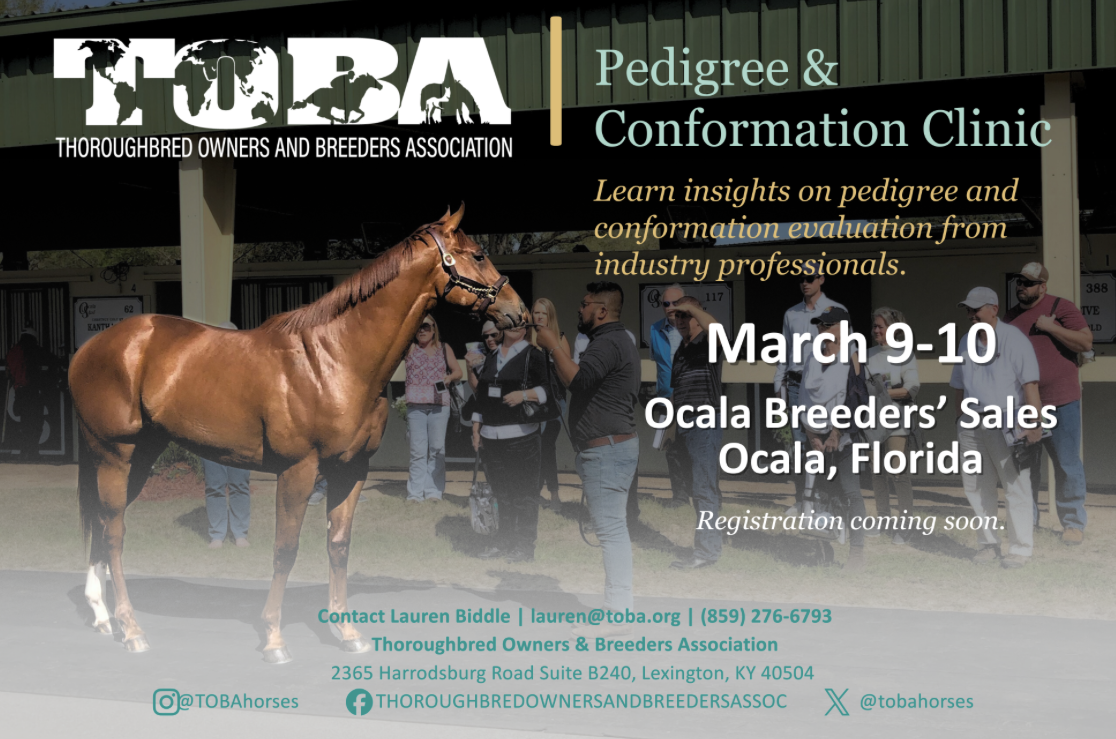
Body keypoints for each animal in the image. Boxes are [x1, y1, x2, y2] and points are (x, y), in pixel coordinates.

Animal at [70, 205, 527, 663]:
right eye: (479, 254)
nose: (518, 312)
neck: (335, 359)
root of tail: (89, 348)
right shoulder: (298, 471)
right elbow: (285, 550)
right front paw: (274, 638)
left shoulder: (351, 471)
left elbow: (338, 546)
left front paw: (347, 632)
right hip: (115, 455)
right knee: (113, 533)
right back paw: (131, 629)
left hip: (140, 456)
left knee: (102, 523)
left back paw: (102, 615)